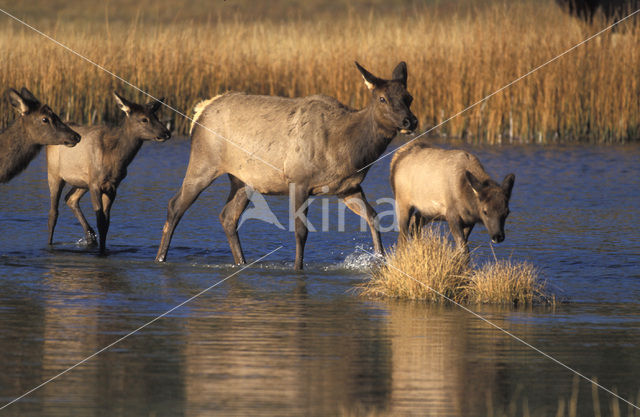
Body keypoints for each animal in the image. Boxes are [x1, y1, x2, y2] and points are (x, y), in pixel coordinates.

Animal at [46, 91, 171, 252]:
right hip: (54, 174)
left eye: (157, 117)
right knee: (53, 213)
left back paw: (90, 237)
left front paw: (103, 248)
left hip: (82, 182)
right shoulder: (95, 184)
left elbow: (106, 223)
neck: (115, 158)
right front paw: (101, 251)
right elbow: (100, 220)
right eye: (144, 119)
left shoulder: (112, 186)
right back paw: (50, 244)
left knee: (70, 198)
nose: (166, 133)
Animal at [152, 61, 418, 270]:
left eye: (409, 97)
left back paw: (241, 262)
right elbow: (301, 231)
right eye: (382, 98)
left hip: (243, 180)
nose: (410, 121)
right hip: (204, 161)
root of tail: (200, 111)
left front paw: (380, 260)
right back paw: (160, 259)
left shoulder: (347, 188)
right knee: (175, 205)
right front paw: (298, 267)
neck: (347, 149)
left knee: (228, 216)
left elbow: (373, 217)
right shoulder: (298, 180)